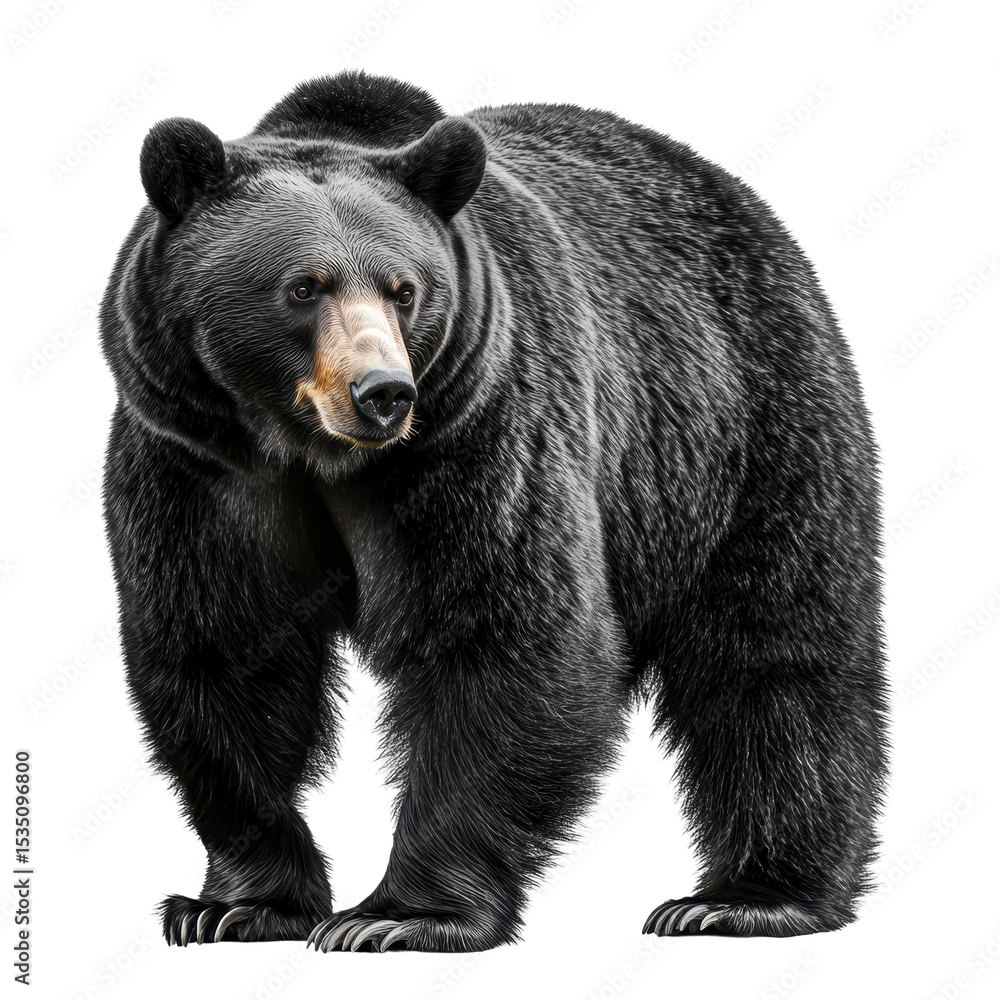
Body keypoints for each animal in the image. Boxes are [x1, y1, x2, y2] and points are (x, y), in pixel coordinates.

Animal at [100, 70, 889, 952]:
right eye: (303, 286)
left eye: (405, 291)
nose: (383, 392)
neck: (316, 454)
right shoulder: (199, 465)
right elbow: (222, 652)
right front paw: (236, 904)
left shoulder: (481, 436)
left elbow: (502, 638)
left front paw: (398, 915)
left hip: (743, 425)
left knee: (773, 647)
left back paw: (747, 897)